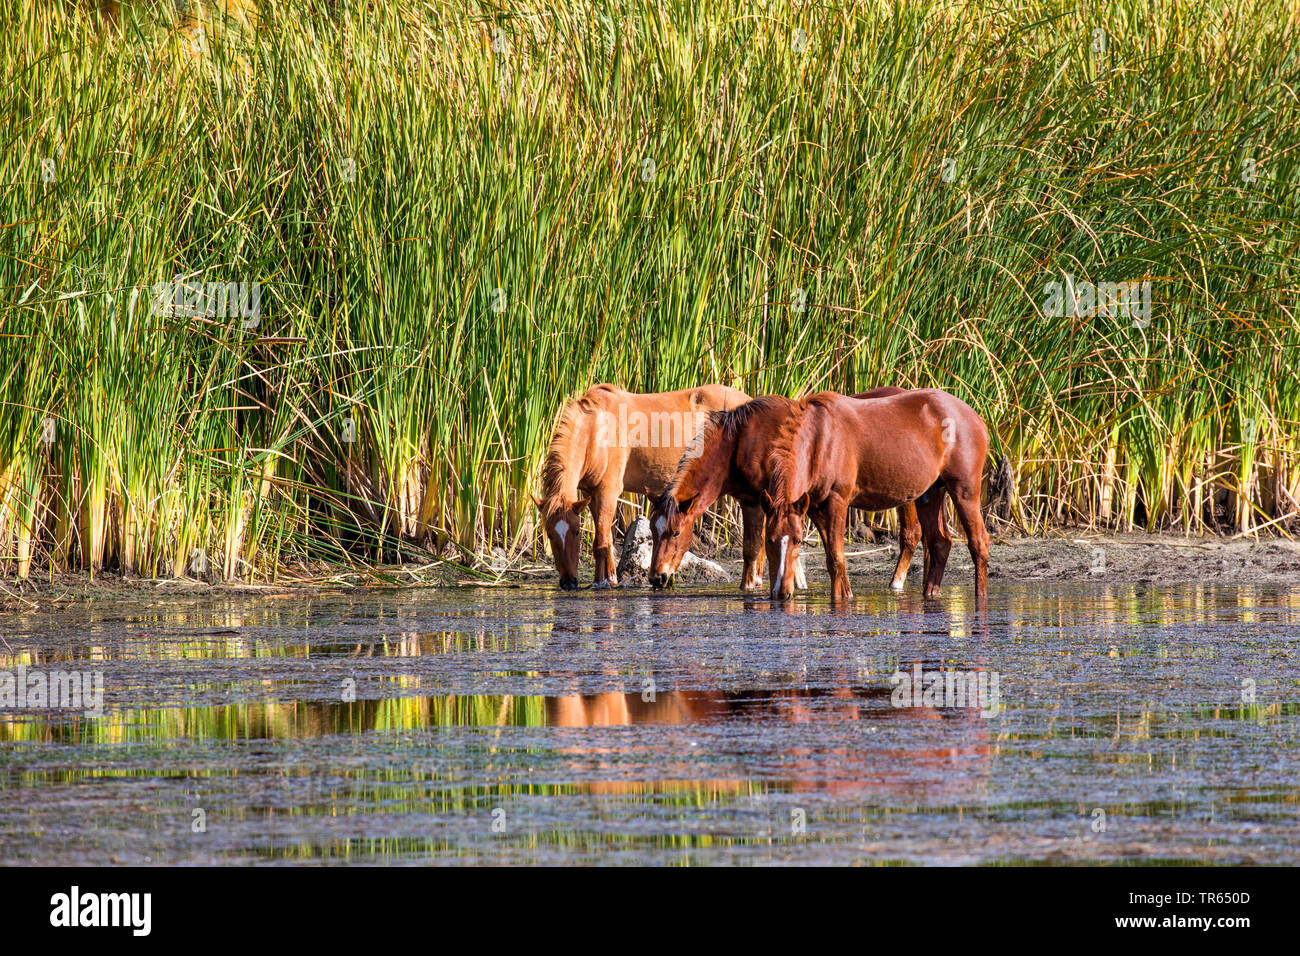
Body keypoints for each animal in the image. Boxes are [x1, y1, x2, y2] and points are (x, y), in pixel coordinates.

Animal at [533, 385, 764, 587]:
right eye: (550, 534)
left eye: (576, 533)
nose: (568, 582)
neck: (595, 431)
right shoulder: (591, 494)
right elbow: (607, 540)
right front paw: (607, 579)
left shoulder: (608, 492)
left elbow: (601, 542)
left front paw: (603, 582)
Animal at [650, 387, 925, 590]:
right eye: (653, 531)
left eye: (675, 532)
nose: (657, 577)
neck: (740, 442)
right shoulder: (751, 500)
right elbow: (751, 549)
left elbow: (761, 547)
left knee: (911, 535)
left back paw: (896, 584)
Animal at [764, 390, 987, 606]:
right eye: (769, 540)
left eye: (798, 540)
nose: (781, 592)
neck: (820, 440)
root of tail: (975, 418)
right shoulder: (815, 508)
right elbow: (832, 557)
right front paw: (845, 593)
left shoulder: (837, 500)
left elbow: (836, 557)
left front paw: (840, 600)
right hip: (930, 493)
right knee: (939, 543)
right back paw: (930, 593)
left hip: (965, 491)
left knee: (979, 542)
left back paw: (980, 596)